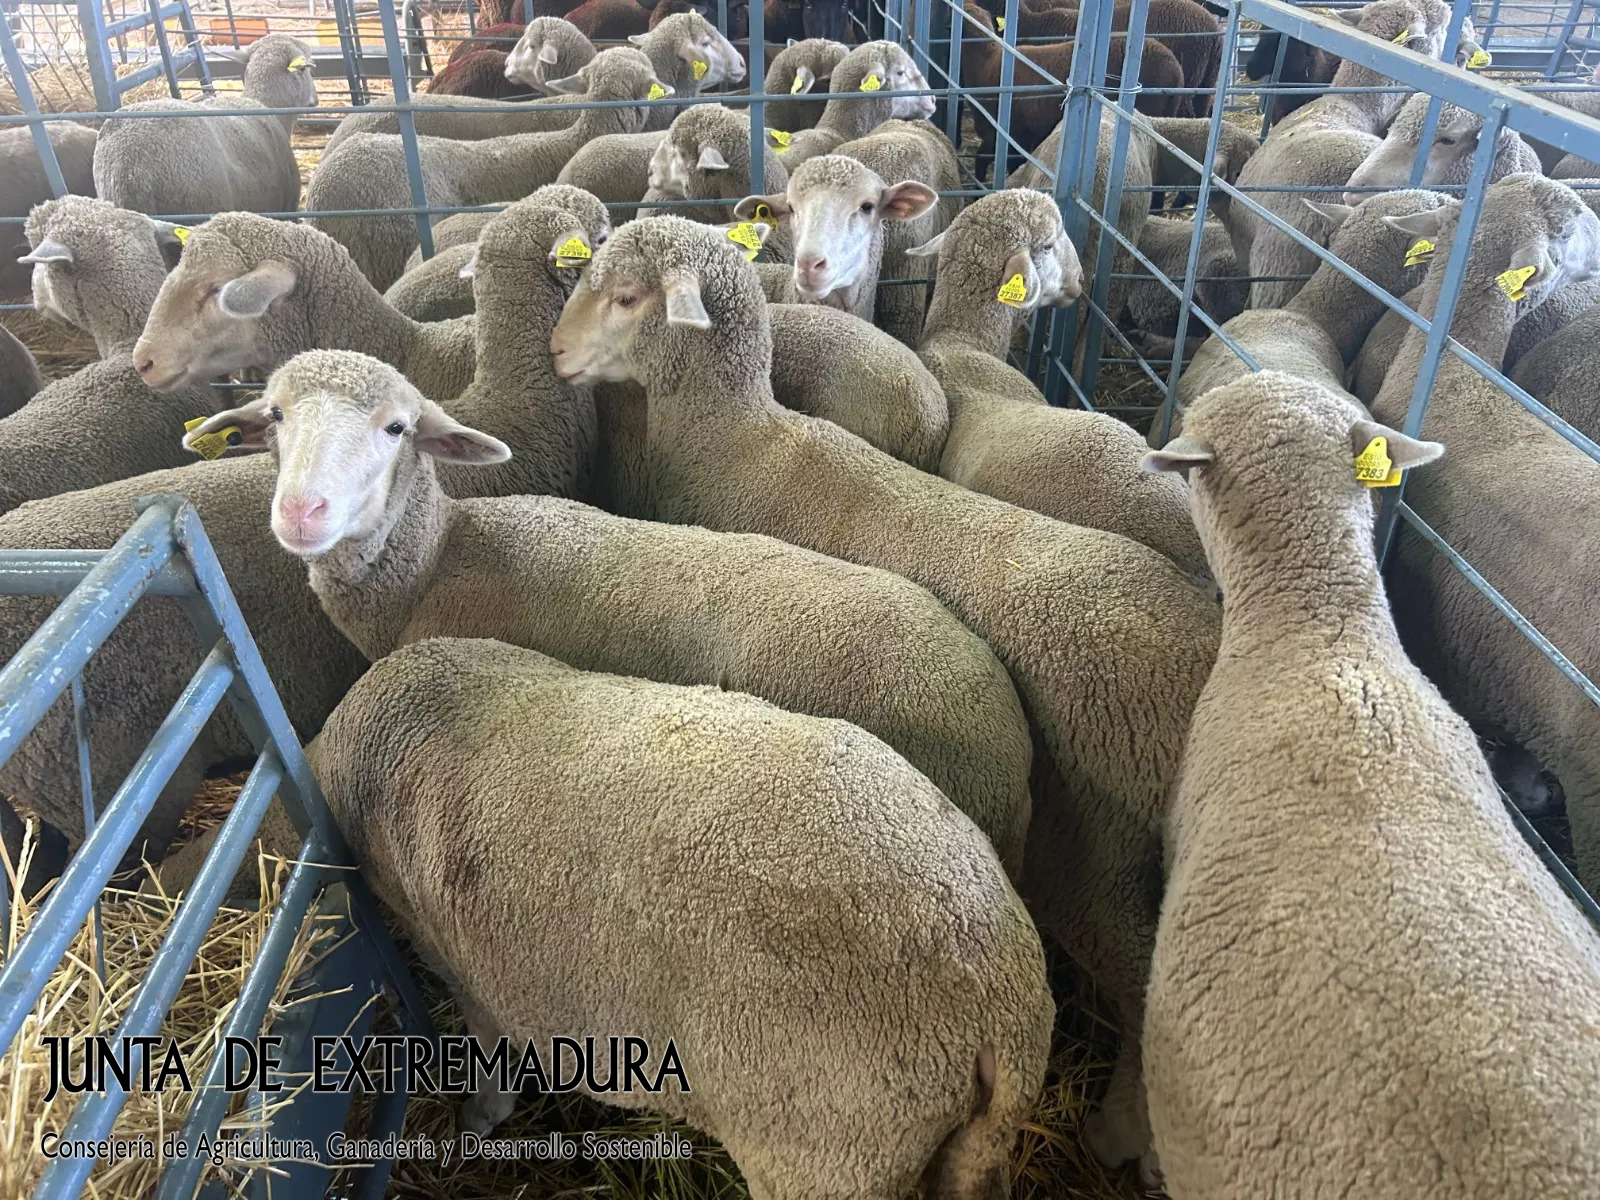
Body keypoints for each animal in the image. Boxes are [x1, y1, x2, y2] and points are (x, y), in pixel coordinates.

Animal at [307, 636, 1054, 1193]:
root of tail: (1003, 1012)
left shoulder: (461, 962)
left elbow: (491, 1048)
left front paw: (479, 1119)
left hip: (833, 1150)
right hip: (964, 1152)